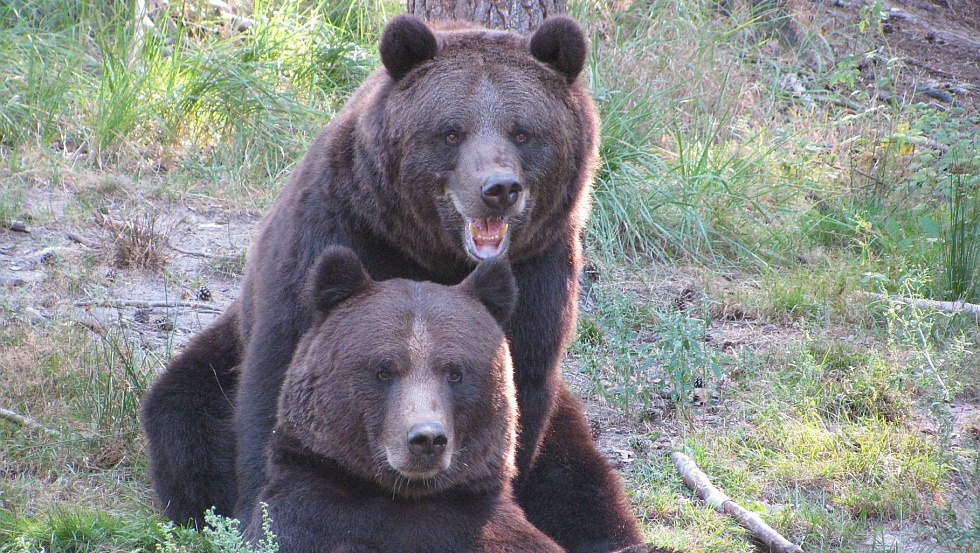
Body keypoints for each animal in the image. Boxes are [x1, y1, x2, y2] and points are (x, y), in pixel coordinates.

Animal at [244, 247, 564, 552]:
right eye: (384, 370)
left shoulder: (484, 521)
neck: (407, 494)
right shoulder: (313, 510)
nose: (427, 438)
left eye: (455, 372)